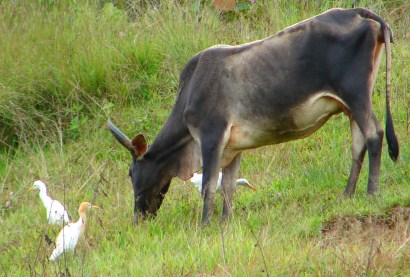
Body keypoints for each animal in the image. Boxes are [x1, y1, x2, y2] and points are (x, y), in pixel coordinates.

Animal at [108, 8, 398, 224]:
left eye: (131, 173)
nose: (138, 218)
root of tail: (356, 12)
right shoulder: (232, 148)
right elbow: (228, 187)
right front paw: (224, 222)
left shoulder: (212, 137)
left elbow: (209, 186)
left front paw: (204, 225)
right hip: (351, 105)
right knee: (358, 144)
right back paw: (347, 195)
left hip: (355, 94)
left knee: (374, 135)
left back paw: (371, 193)